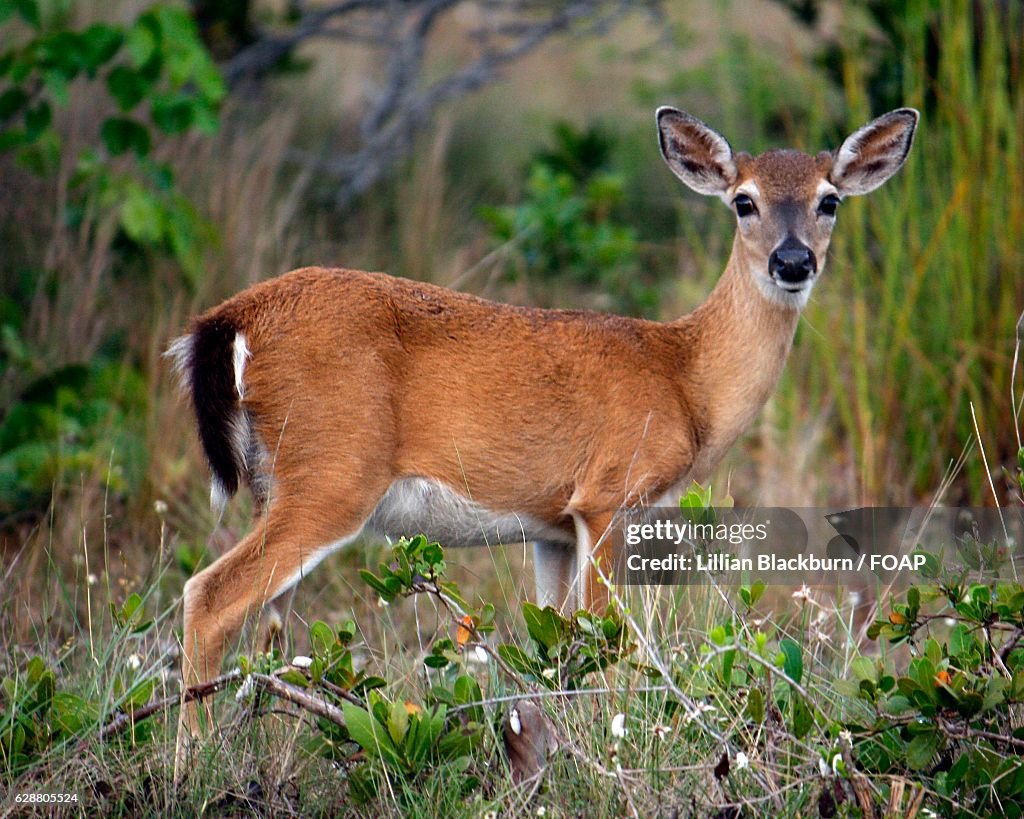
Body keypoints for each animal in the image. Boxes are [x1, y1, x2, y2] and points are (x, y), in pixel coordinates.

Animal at [167, 106, 918, 767]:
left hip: (278, 481)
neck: (684, 379)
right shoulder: (609, 494)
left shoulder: (553, 526)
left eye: (829, 200)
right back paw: (193, 764)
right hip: (334, 472)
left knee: (270, 631)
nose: (792, 262)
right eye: (743, 201)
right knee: (209, 595)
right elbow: (604, 640)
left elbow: (554, 646)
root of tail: (233, 316)